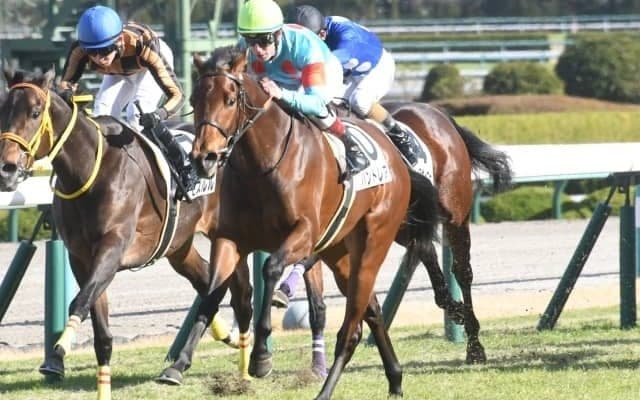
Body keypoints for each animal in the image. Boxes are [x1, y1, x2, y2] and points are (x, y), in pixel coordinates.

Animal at [0, 67, 255, 399]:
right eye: (3, 111)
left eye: (34, 112)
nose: (7, 168)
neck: (90, 170)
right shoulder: (82, 258)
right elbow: (99, 324)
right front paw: (77, 372)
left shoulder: (113, 248)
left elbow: (79, 302)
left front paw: (60, 349)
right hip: (179, 246)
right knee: (207, 283)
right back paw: (211, 345)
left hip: (229, 236)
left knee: (235, 293)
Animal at [187, 46, 441, 399]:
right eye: (194, 100)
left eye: (229, 99)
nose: (204, 158)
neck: (262, 165)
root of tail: (398, 161)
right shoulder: (231, 239)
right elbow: (212, 290)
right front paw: (177, 365)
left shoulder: (304, 235)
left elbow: (271, 269)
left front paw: (261, 356)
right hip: (341, 253)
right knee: (372, 310)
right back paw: (395, 379)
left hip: (373, 243)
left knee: (351, 329)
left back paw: (326, 390)